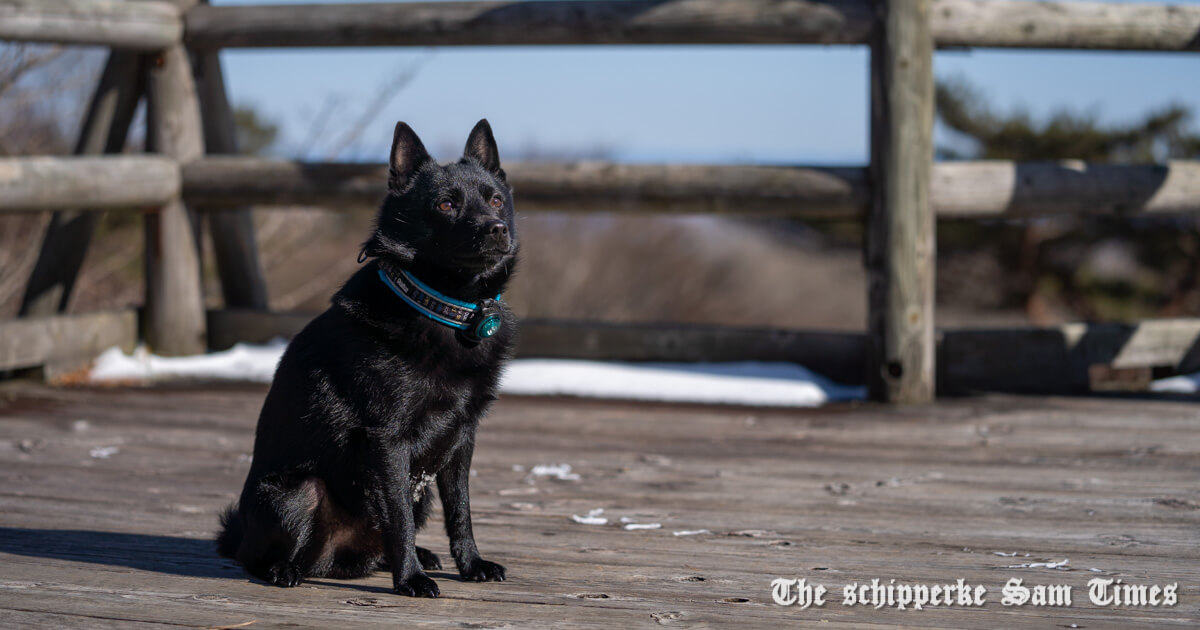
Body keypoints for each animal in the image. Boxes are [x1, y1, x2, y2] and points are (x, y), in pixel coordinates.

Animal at [218, 117, 518, 595]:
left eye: (494, 200)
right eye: (446, 204)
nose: (496, 228)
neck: (442, 306)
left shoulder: (461, 439)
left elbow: (462, 512)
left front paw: (471, 565)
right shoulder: (387, 441)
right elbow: (398, 519)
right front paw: (410, 578)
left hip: (420, 492)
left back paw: (419, 555)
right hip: (297, 492)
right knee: (257, 556)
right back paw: (285, 569)